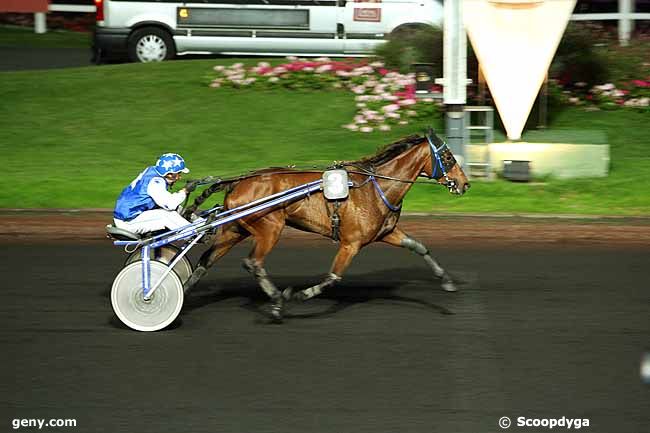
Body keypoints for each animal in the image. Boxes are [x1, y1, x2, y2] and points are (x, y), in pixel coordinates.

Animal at [182, 130, 466, 318]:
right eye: (448, 157)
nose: (464, 184)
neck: (375, 188)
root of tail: (238, 181)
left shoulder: (387, 233)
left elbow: (418, 246)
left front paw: (447, 281)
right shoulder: (351, 243)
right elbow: (333, 277)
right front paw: (299, 294)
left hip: (235, 228)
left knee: (206, 259)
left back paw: (183, 291)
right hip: (270, 228)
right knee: (253, 262)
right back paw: (277, 300)